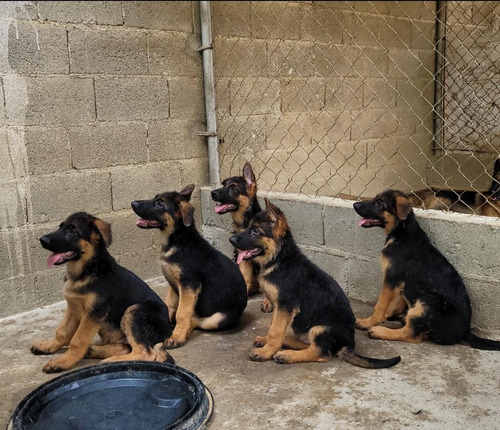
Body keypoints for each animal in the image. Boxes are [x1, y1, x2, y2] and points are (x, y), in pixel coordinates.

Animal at [31, 212, 175, 372]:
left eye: (72, 231)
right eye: (60, 227)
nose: (42, 240)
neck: (86, 270)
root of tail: (169, 329)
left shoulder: (94, 312)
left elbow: (77, 340)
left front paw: (63, 361)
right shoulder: (73, 307)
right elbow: (62, 332)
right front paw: (48, 346)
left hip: (134, 310)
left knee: (144, 352)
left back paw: (113, 360)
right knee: (126, 347)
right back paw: (93, 350)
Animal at [132, 183, 247, 348]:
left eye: (160, 204)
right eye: (155, 197)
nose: (133, 203)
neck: (177, 241)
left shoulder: (189, 285)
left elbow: (182, 312)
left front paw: (176, 336)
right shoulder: (174, 284)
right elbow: (169, 305)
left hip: (220, 318)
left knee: (196, 320)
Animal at [211, 163, 274, 314]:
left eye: (233, 188)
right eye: (223, 184)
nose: (212, 193)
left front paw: (268, 301)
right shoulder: (243, 259)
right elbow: (245, 280)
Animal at [229, 197, 398, 366]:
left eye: (255, 230)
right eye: (249, 227)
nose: (231, 239)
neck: (279, 259)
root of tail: (349, 344)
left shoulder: (286, 306)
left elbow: (275, 331)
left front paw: (266, 351)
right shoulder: (279, 306)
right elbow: (273, 325)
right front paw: (266, 342)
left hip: (322, 328)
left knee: (320, 353)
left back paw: (287, 355)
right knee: (309, 345)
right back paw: (287, 342)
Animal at [354, 190, 500, 352]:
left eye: (379, 203)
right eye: (374, 199)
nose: (355, 204)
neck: (402, 231)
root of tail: (465, 334)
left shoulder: (392, 278)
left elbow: (380, 304)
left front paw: (370, 322)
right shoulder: (403, 283)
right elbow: (394, 302)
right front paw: (386, 315)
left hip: (426, 303)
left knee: (412, 336)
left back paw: (381, 331)